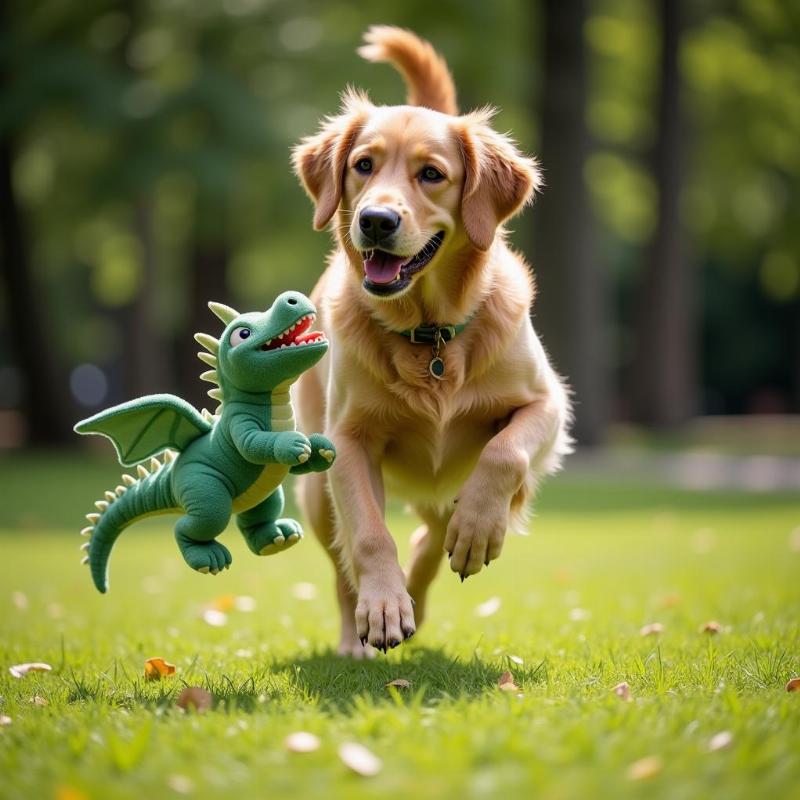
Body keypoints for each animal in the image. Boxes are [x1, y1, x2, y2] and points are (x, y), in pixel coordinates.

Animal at [290, 28, 572, 660]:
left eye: (432, 175)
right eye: (362, 165)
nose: (375, 220)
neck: (431, 335)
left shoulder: (549, 404)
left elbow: (505, 453)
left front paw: (479, 529)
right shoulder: (346, 441)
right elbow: (370, 537)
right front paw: (382, 606)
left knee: (435, 526)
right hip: (316, 489)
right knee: (344, 566)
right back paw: (362, 631)